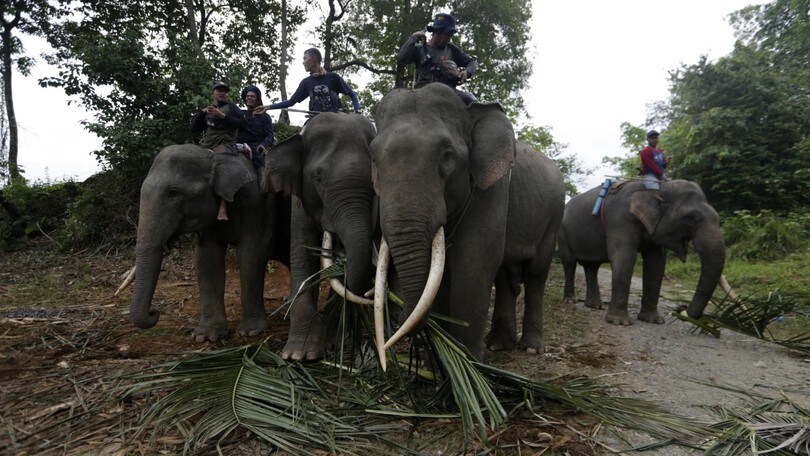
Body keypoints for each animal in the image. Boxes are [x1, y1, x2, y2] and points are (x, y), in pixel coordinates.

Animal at [129, 144, 288, 341]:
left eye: (173, 193)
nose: (154, 311)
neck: (215, 158)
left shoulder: (258, 205)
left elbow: (251, 254)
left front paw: (251, 332)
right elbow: (207, 259)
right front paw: (206, 336)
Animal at [263, 112, 377, 361]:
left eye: (375, 179)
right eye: (317, 177)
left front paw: (334, 340)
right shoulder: (299, 204)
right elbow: (303, 254)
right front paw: (299, 355)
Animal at [369, 82, 565, 362]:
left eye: (447, 156)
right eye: (374, 157)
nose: (399, 319)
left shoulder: (491, 189)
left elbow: (475, 259)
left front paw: (467, 360)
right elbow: (443, 273)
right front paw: (438, 359)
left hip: (555, 214)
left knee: (536, 274)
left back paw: (531, 348)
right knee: (505, 275)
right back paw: (498, 345)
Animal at [558, 179, 726, 325]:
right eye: (690, 218)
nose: (683, 310)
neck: (659, 187)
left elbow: (656, 263)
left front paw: (653, 320)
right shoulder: (621, 219)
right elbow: (624, 257)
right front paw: (620, 322)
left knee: (591, 267)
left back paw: (595, 306)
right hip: (562, 234)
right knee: (570, 264)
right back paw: (570, 300)